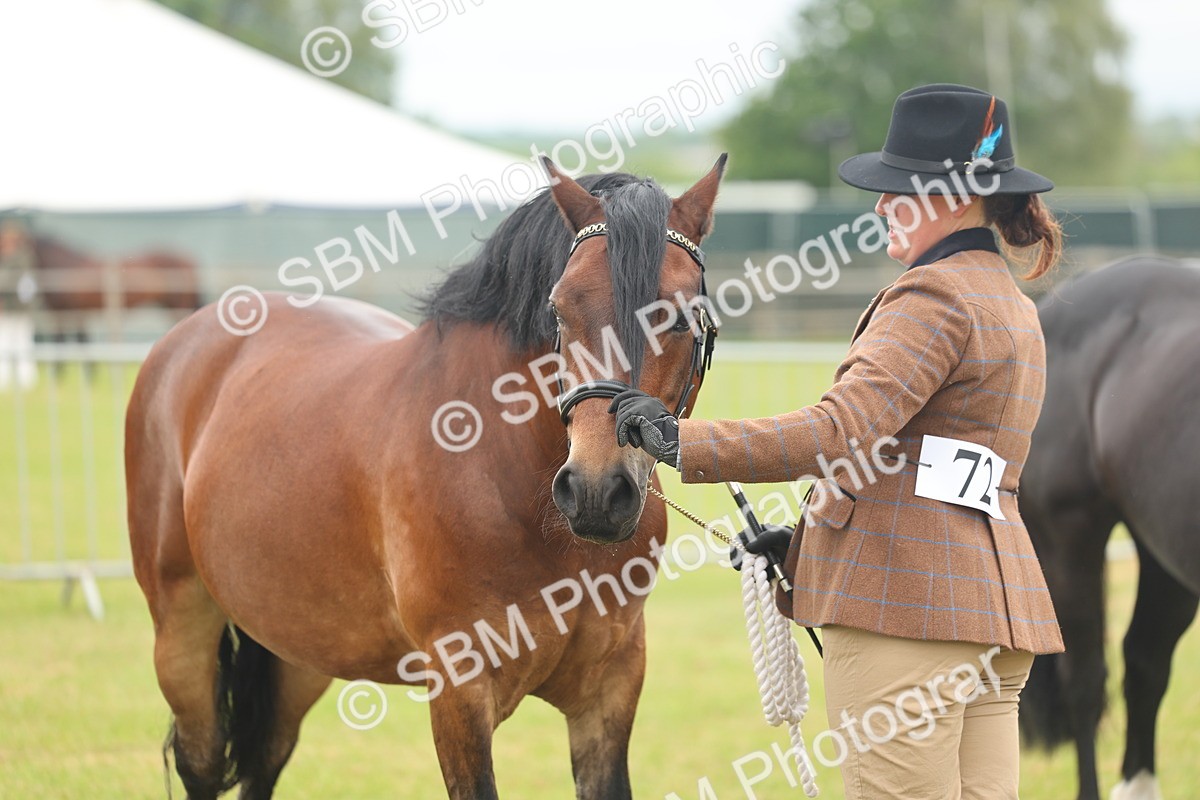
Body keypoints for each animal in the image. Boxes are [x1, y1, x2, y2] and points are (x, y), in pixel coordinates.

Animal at [125, 155, 727, 799]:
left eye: (682, 317)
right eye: (559, 309)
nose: (595, 492)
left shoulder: (610, 685)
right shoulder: (460, 689)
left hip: (298, 648)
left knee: (264, 759)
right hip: (182, 633)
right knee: (202, 760)